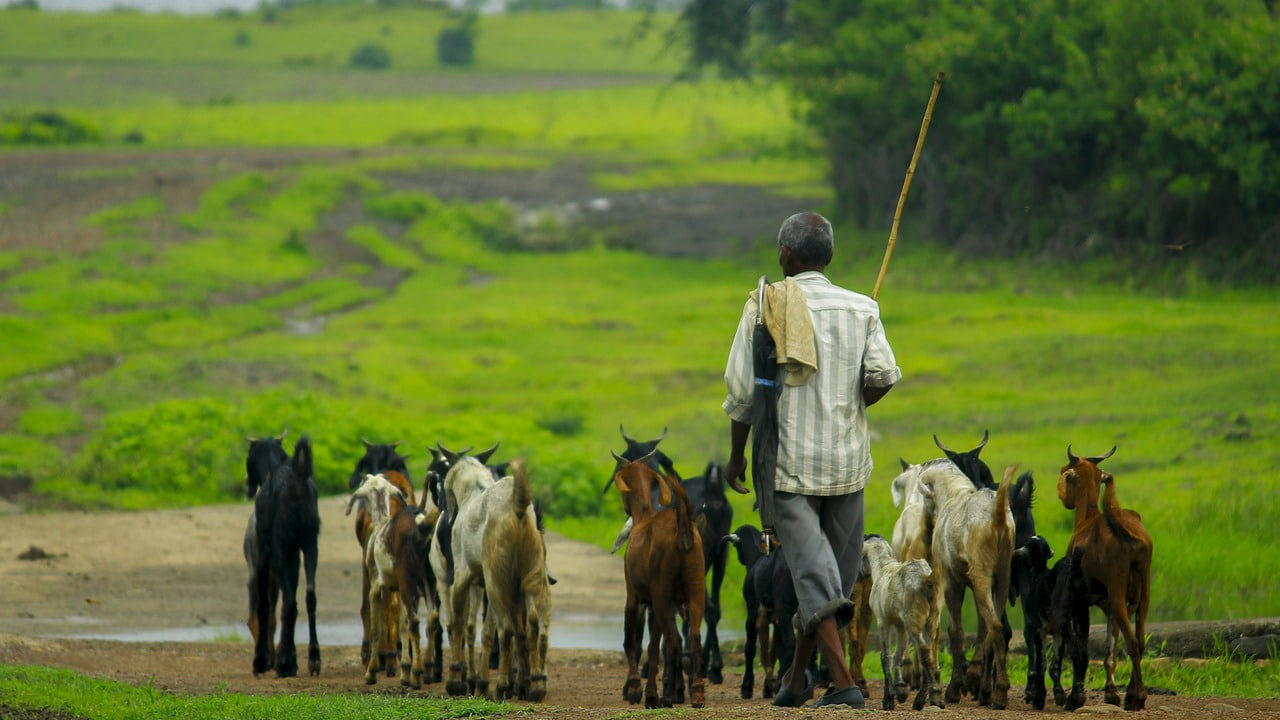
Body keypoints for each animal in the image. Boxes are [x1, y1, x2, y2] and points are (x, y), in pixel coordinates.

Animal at [248, 435, 318, 676]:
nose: (247, 483)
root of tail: (298, 480)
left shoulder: (264, 552)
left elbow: (264, 605)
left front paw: (261, 660)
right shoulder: (295, 553)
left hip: (281, 546)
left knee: (288, 602)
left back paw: (285, 662)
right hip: (310, 542)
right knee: (309, 596)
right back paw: (313, 659)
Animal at [611, 448, 711, 707]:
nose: (625, 509)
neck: (644, 516)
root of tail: (683, 530)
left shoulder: (635, 596)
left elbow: (631, 641)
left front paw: (636, 691)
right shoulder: (655, 605)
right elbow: (653, 645)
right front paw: (650, 693)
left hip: (662, 592)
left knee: (674, 643)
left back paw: (667, 697)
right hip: (695, 590)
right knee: (694, 640)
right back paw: (697, 694)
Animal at [1008, 535, 1090, 707]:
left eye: (1027, 545)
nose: (1015, 552)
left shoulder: (1039, 628)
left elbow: (1041, 662)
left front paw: (1038, 697)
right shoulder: (1057, 633)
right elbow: (1054, 664)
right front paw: (1059, 693)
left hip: (1062, 619)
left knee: (1076, 650)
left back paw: (1075, 696)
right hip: (1081, 616)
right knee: (1084, 652)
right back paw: (1078, 694)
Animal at [1054, 445, 1157, 707]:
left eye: (1064, 472)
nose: (1063, 498)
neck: (1087, 521)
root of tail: (1129, 533)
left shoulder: (1079, 602)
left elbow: (1081, 648)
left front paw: (1076, 696)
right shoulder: (1108, 606)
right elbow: (1110, 649)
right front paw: (1111, 693)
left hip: (1119, 592)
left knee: (1132, 643)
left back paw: (1136, 697)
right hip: (1143, 593)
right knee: (1139, 641)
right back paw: (1133, 692)